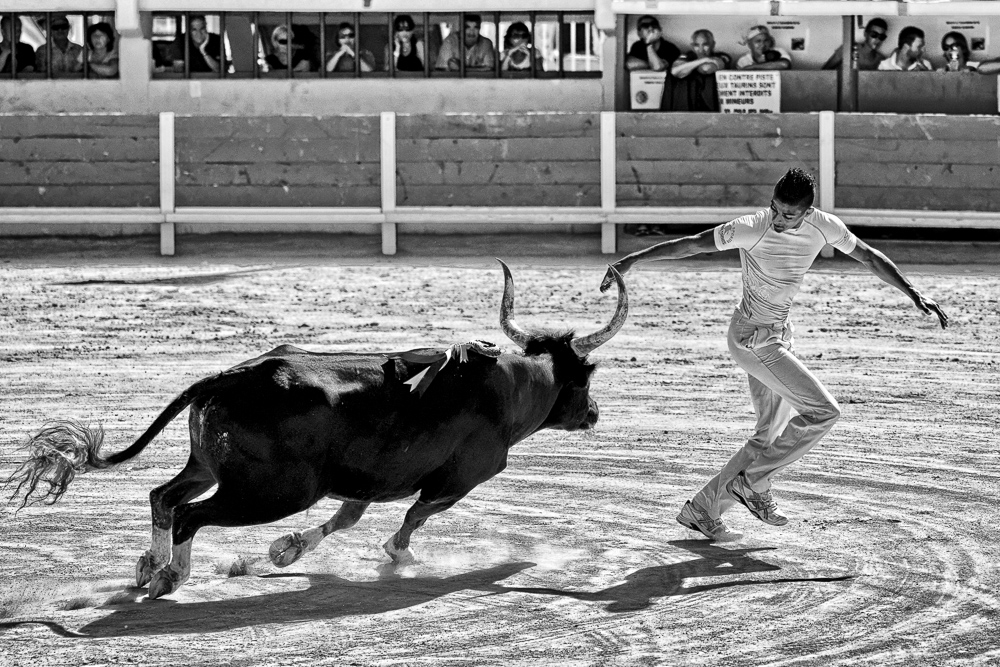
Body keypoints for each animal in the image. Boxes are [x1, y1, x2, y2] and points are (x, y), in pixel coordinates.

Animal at [5, 264, 624, 604]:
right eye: (587, 376)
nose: (594, 413)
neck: (506, 386)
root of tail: (232, 375)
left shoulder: (371, 477)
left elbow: (349, 514)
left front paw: (286, 551)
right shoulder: (461, 478)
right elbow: (413, 516)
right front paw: (398, 556)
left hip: (208, 465)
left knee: (163, 496)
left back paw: (145, 569)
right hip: (270, 491)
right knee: (189, 515)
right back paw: (169, 577)